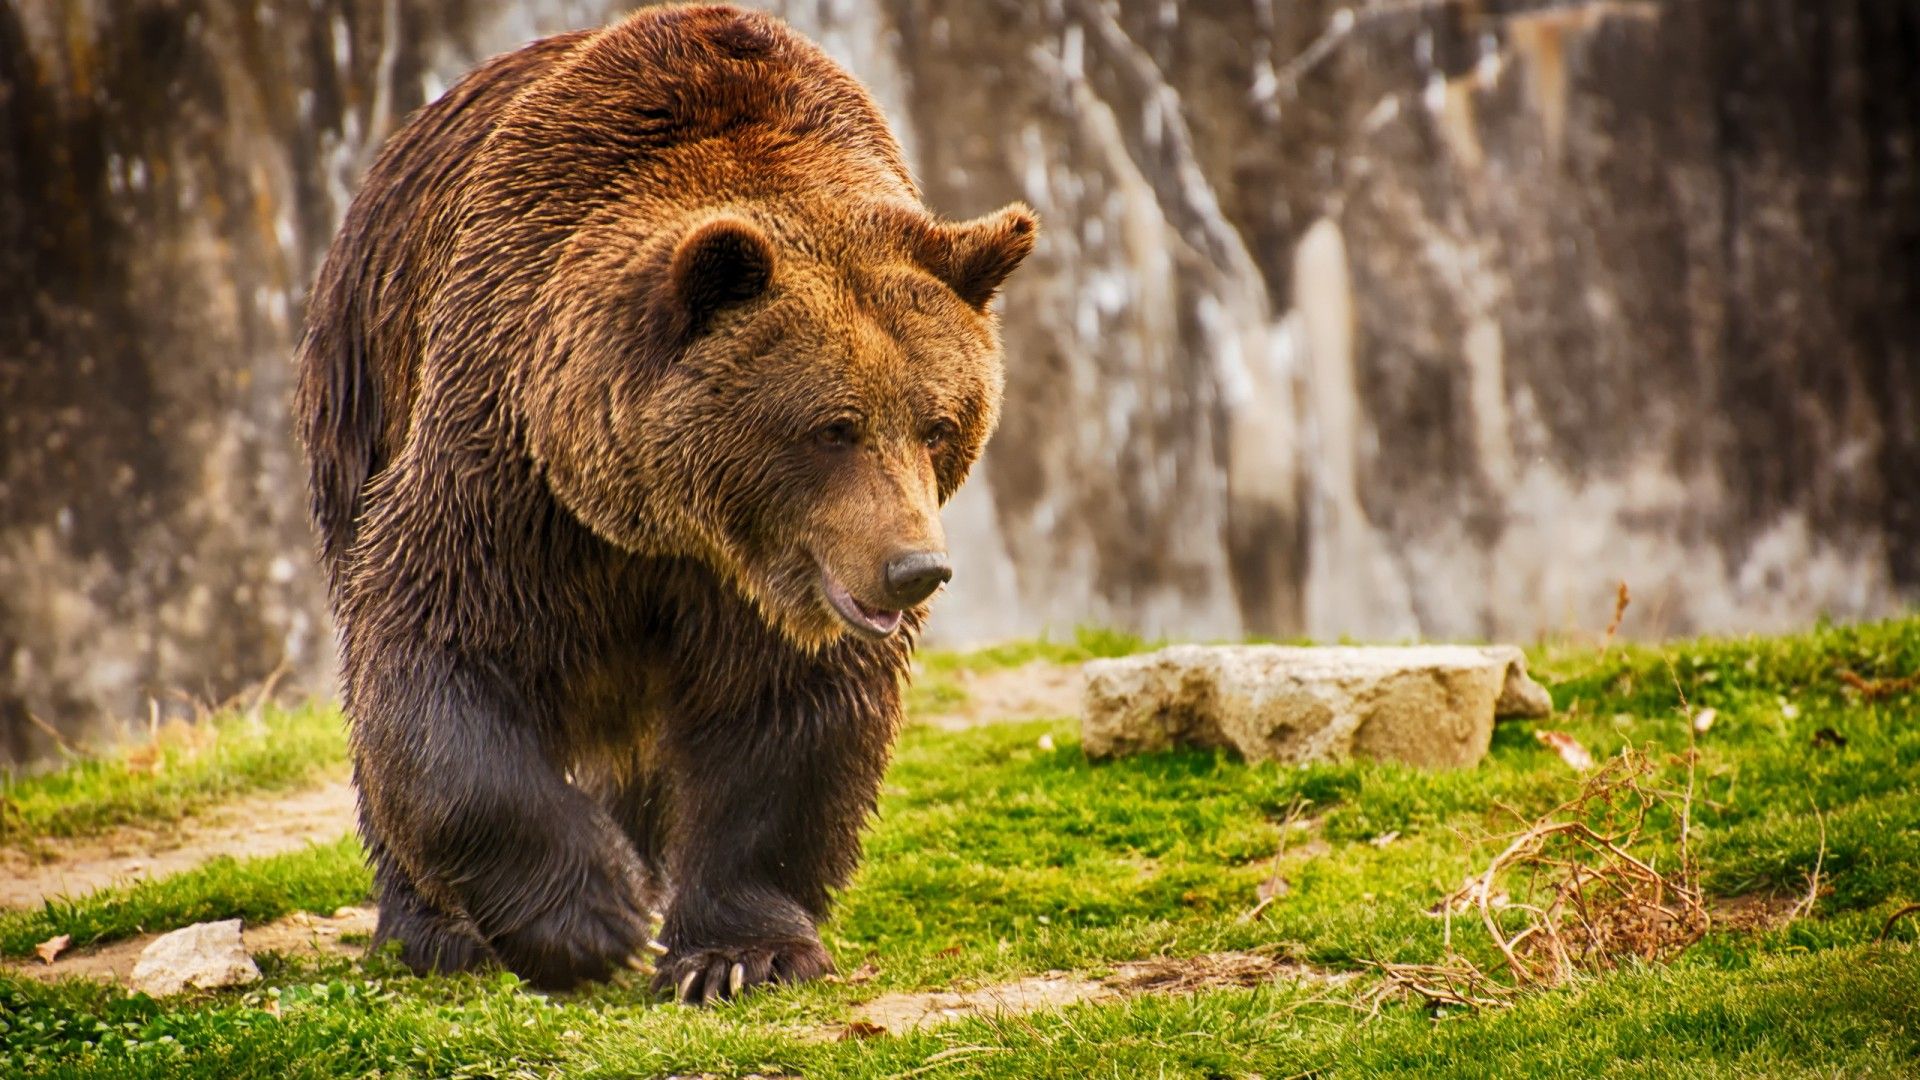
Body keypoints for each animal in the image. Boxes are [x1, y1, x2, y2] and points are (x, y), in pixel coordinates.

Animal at [293, 4, 1035, 1000]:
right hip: (363, 381)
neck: (661, 522)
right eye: (834, 426)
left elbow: (787, 718)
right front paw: (589, 917)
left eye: (938, 423)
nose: (915, 569)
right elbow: (436, 656)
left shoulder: (771, 584)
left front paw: (736, 955)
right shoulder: (507, 468)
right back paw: (435, 929)